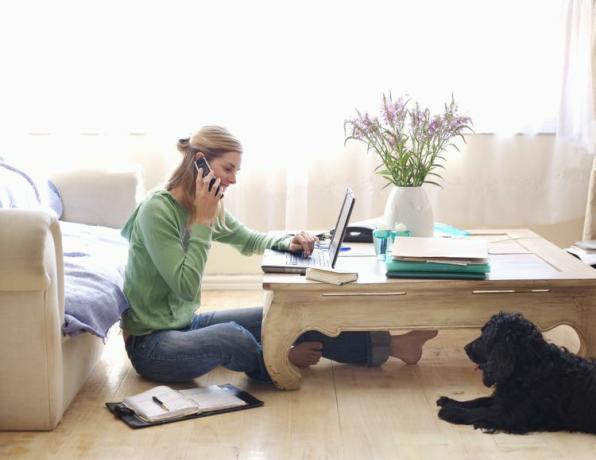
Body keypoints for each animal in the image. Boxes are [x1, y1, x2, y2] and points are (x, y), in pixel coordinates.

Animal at [438, 310, 596, 434]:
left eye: (486, 336)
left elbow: (481, 412)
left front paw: (452, 411)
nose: (466, 348)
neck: (529, 367)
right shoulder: (503, 398)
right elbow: (478, 401)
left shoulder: (511, 415)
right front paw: (449, 401)